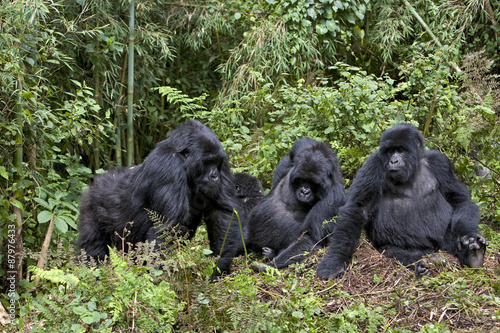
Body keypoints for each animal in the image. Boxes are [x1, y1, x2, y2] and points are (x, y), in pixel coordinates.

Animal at [76, 118, 242, 276]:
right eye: (207, 162)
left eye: (216, 162)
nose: (215, 176)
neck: (183, 160)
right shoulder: (168, 167)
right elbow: (166, 228)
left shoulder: (222, 158)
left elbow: (221, 213)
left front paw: (219, 265)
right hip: (92, 205)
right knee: (93, 246)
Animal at [248, 137, 346, 270]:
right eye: (302, 179)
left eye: (313, 183)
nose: (305, 192)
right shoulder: (302, 151)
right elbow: (301, 145)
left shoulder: (334, 197)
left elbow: (310, 237)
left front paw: (268, 267)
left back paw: (271, 254)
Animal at [316, 122, 488, 278]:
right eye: (390, 151)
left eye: (400, 150)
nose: (393, 161)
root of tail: (431, 248)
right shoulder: (374, 165)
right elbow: (358, 208)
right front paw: (335, 261)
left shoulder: (440, 163)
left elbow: (459, 199)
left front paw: (467, 236)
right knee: (394, 251)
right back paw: (421, 264)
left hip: (441, 241)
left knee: (451, 237)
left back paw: (474, 254)